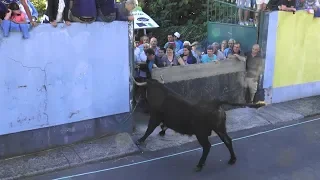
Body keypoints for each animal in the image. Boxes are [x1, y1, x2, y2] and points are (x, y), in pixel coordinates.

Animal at [131, 76, 266, 172]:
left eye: (141, 89)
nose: (136, 99)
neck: (160, 94)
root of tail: (215, 103)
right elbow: (163, 126)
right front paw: (161, 132)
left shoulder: (155, 117)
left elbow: (149, 129)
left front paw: (140, 140)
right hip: (220, 129)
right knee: (228, 140)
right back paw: (232, 159)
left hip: (201, 133)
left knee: (207, 146)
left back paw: (199, 165)